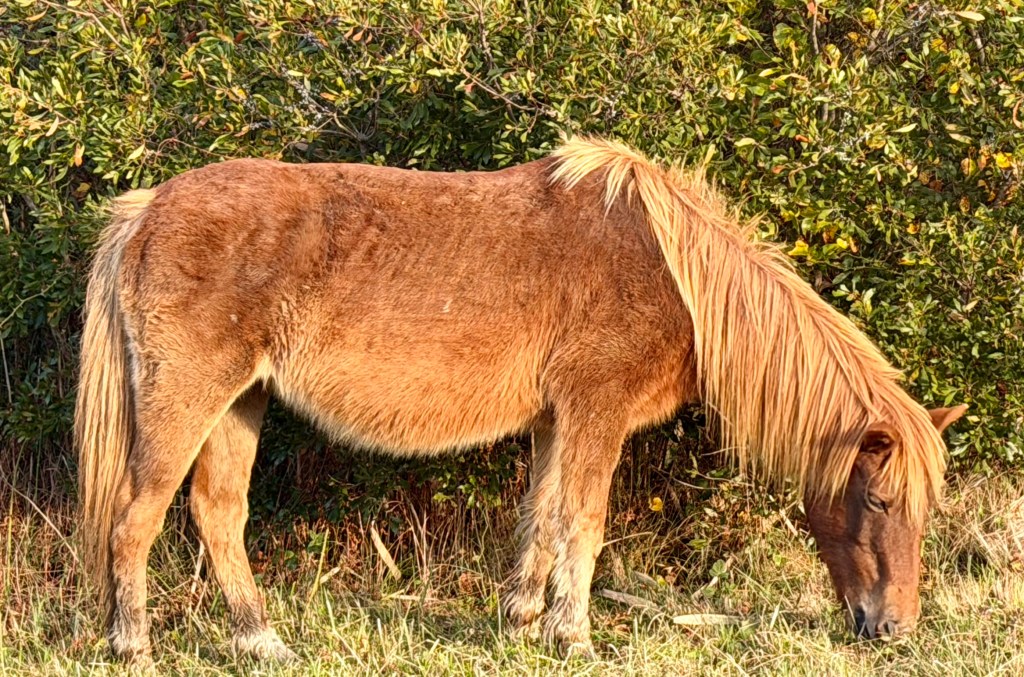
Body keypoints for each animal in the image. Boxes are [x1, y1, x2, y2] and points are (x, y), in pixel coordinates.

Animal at [75, 137, 965, 664]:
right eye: (879, 499)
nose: (894, 626)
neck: (675, 274)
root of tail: (147, 209)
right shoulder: (595, 411)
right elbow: (585, 519)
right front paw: (573, 635)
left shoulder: (553, 420)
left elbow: (541, 514)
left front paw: (523, 620)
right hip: (188, 398)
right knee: (135, 519)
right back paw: (132, 646)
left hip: (242, 402)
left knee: (218, 512)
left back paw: (263, 642)